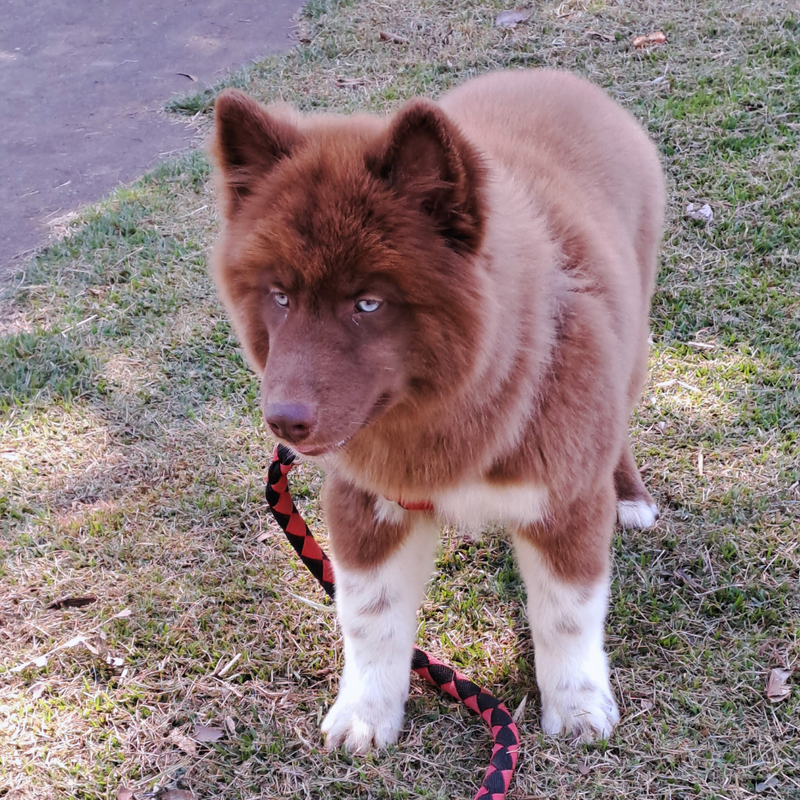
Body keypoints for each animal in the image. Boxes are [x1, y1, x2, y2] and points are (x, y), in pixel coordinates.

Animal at [209, 69, 664, 752]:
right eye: (280, 295)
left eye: (368, 303)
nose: (284, 421)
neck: (445, 413)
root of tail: (553, 76)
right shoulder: (368, 500)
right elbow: (369, 617)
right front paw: (367, 713)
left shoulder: (564, 497)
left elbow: (567, 616)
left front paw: (578, 705)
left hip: (630, 345)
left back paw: (631, 496)